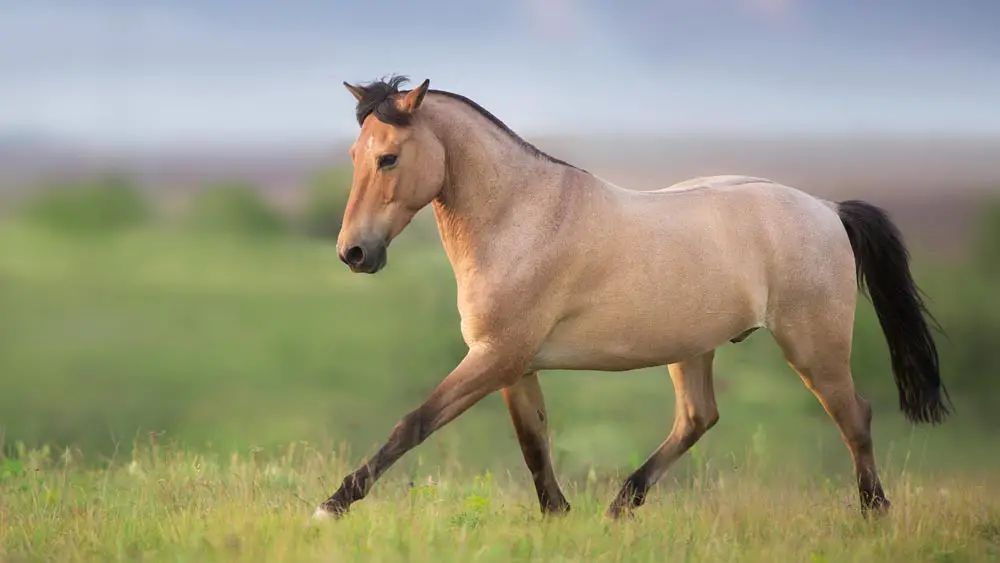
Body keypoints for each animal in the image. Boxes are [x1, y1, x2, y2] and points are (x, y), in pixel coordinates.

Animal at [308, 75, 948, 524]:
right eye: (355, 156)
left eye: (389, 157)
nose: (353, 252)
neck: (522, 217)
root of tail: (829, 210)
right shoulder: (512, 365)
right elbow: (534, 441)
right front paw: (559, 516)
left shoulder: (495, 358)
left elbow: (413, 424)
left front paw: (330, 506)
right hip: (693, 348)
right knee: (698, 418)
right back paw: (621, 505)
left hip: (814, 348)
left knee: (854, 417)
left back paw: (873, 514)